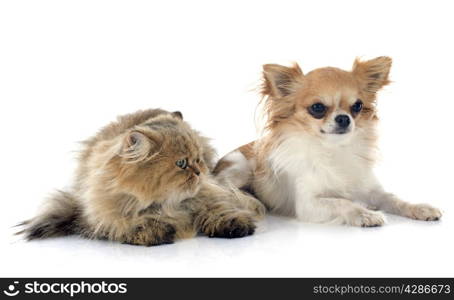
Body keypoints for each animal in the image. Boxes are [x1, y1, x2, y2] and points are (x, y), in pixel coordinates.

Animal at [17, 109, 264, 245]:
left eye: (198, 158)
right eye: (181, 163)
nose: (199, 171)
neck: (166, 205)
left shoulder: (210, 194)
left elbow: (219, 211)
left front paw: (234, 226)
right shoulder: (104, 217)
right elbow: (131, 226)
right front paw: (157, 231)